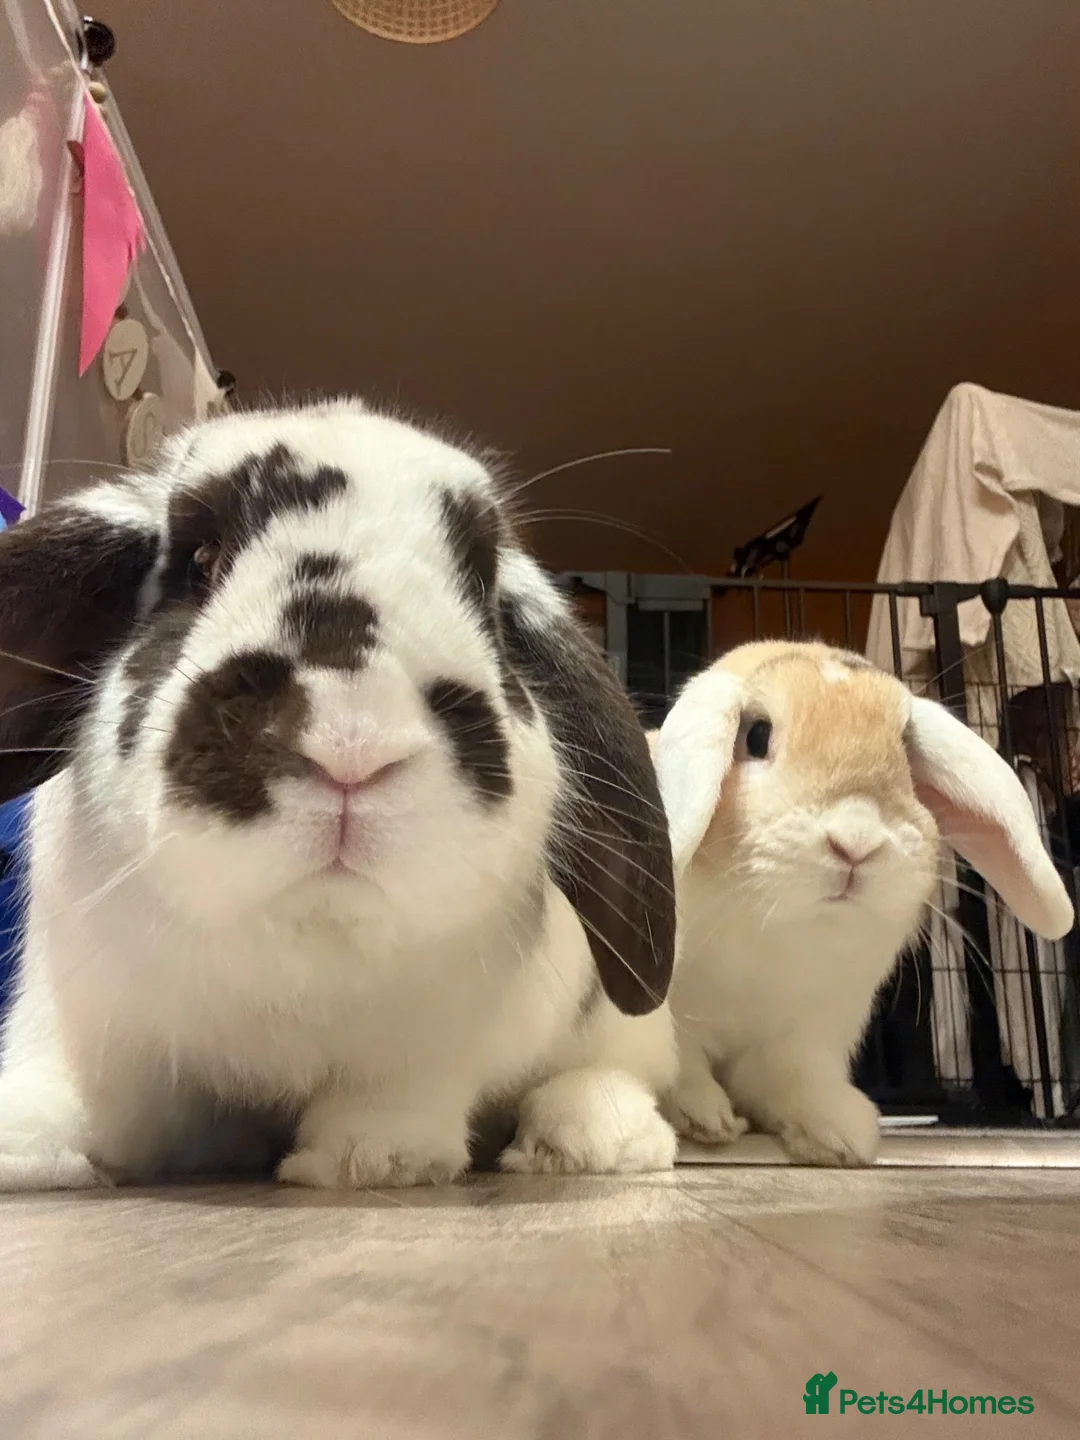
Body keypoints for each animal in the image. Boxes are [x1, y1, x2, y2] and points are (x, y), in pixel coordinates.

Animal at [0, 399, 678, 1191]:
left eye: (482, 593)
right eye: (201, 561)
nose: (353, 744)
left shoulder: (426, 1049)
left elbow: (390, 1104)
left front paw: (367, 1161)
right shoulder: (84, 1018)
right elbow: (78, 1094)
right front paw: (22, 1146)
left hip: (618, 1027)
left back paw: (587, 1139)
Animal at [650, 640, 1074, 1167]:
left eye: (905, 750)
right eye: (757, 735)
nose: (857, 841)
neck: (779, 933)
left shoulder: (803, 1038)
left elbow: (795, 1083)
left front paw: (841, 1136)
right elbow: (682, 1062)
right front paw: (706, 1118)